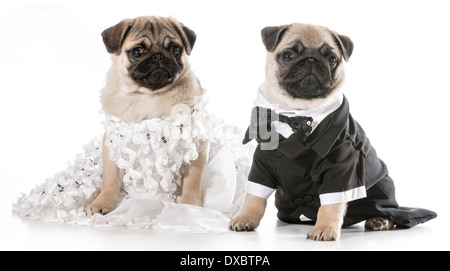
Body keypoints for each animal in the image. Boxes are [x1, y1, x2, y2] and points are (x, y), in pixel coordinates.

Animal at [84, 15, 207, 216]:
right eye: (137, 52)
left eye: (175, 49)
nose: (159, 56)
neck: (148, 96)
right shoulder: (112, 146)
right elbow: (110, 180)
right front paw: (101, 203)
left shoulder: (196, 146)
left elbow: (192, 182)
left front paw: (190, 207)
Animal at [229, 22, 436, 240]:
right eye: (287, 56)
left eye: (332, 60)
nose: (311, 60)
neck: (296, 112)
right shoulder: (262, 162)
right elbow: (254, 197)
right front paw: (245, 217)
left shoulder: (342, 168)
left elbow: (331, 205)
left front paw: (324, 228)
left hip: (380, 191)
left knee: (388, 210)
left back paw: (379, 220)